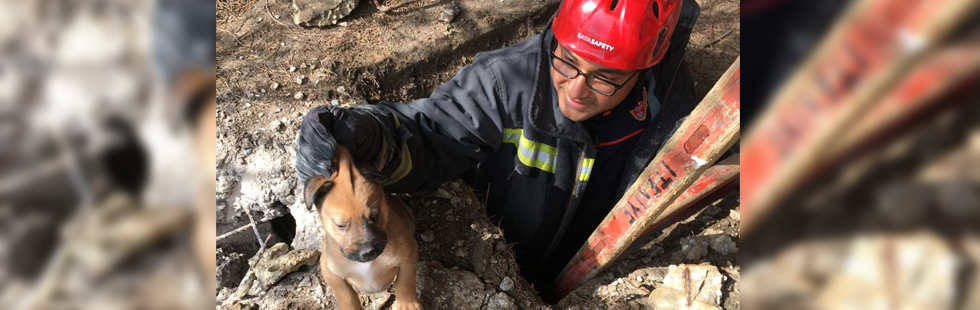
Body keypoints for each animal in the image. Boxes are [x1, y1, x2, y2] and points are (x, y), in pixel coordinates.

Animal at [300, 146, 420, 310]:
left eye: (375, 216)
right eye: (340, 225)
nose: (367, 252)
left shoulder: (409, 255)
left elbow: (405, 282)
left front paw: (407, 304)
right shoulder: (331, 273)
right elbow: (347, 298)